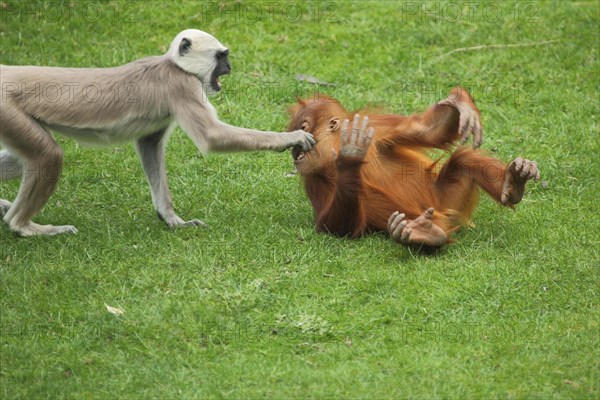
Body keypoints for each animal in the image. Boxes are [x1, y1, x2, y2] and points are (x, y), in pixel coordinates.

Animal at [0, 31, 316, 239]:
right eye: (221, 56)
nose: (229, 67)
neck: (171, 65)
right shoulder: (182, 86)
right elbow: (211, 138)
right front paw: (292, 138)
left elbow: (149, 144)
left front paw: (172, 220)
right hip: (8, 109)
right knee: (48, 155)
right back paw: (22, 226)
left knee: (22, 160)